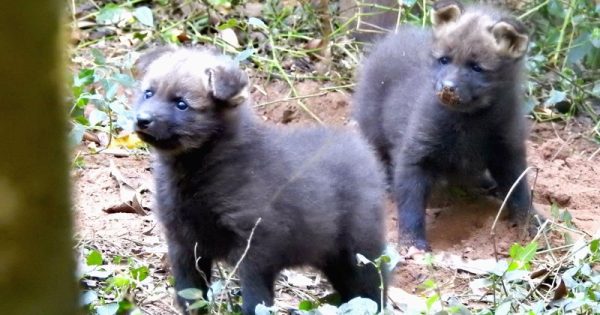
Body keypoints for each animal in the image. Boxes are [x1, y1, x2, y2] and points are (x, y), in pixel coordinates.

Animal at [135, 45, 390, 314]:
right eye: (148, 93)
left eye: (182, 104)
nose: (142, 120)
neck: (195, 172)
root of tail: (363, 148)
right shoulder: (182, 242)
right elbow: (190, 294)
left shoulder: (255, 246)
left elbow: (255, 299)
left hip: (360, 252)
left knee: (374, 288)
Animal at [352, 0, 536, 252]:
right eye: (444, 60)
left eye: (477, 67)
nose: (447, 87)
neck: (469, 123)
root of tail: (392, 36)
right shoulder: (416, 153)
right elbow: (411, 204)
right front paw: (412, 243)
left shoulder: (508, 152)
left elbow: (519, 195)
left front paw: (532, 226)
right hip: (373, 130)